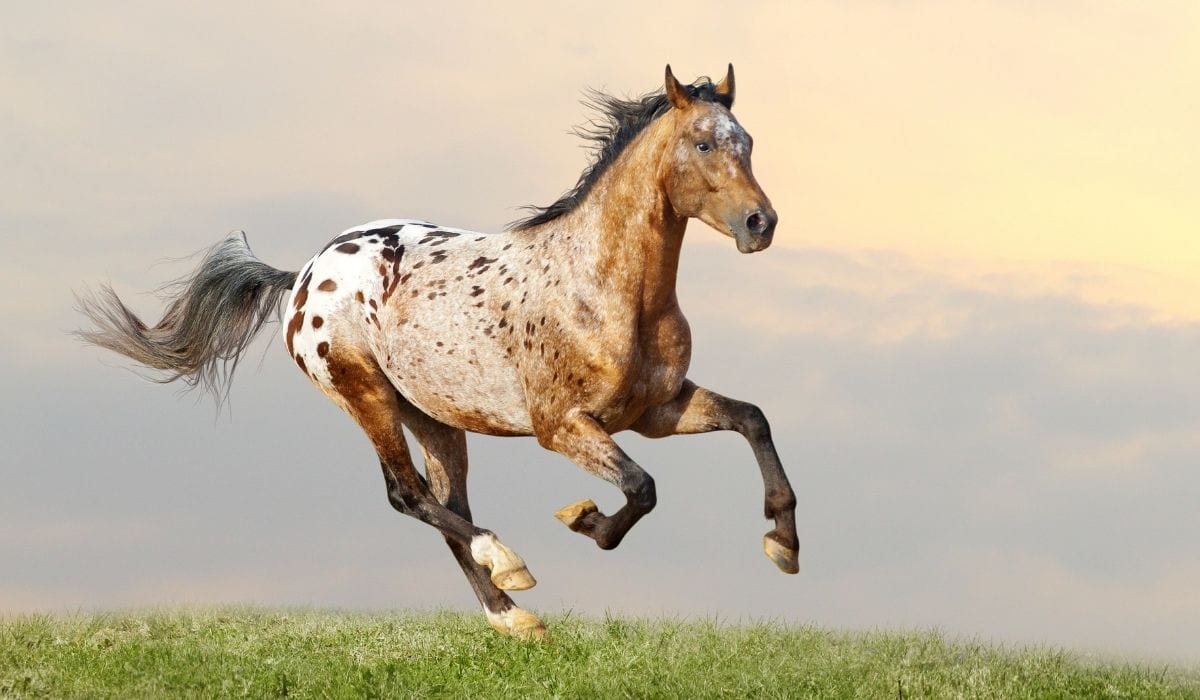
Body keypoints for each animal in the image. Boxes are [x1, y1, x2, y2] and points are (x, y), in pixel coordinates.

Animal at [77, 64, 798, 639]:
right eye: (703, 142)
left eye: (749, 143)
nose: (760, 223)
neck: (603, 288)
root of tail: (303, 275)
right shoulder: (563, 427)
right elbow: (642, 489)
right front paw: (585, 520)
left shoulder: (657, 410)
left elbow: (752, 419)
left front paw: (782, 542)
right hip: (363, 394)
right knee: (408, 495)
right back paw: (509, 566)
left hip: (435, 418)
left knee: (448, 506)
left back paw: (513, 616)